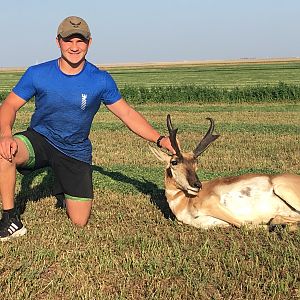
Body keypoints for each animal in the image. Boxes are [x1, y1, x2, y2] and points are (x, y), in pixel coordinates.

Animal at [150, 115, 300, 230]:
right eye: (174, 162)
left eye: (196, 162)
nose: (197, 185)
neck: (183, 200)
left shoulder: (212, 203)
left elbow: (246, 225)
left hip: (281, 187)